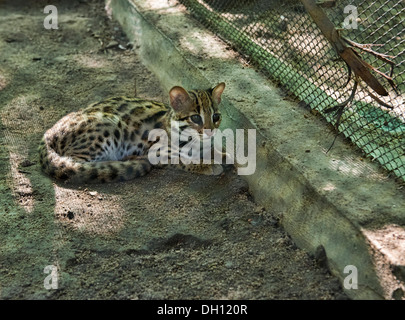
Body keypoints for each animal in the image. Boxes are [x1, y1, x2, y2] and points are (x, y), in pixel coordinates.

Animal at [39, 81, 229, 184]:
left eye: (216, 116)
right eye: (195, 118)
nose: (210, 132)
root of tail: (48, 133)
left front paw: (224, 154)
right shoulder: (157, 150)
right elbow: (183, 158)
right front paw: (206, 164)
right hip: (109, 126)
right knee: (75, 165)